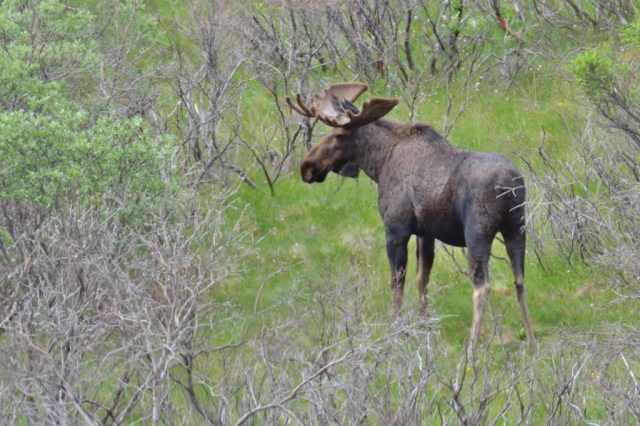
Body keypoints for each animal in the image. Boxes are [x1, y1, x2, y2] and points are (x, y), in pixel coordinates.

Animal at [287, 82, 536, 353]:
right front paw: (424, 324)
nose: (307, 166)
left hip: (478, 233)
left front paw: (396, 330)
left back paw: (471, 348)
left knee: (482, 286)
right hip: (517, 228)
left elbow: (397, 283)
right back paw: (532, 340)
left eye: (339, 135)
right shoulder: (425, 233)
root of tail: (510, 185)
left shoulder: (396, 229)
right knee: (520, 280)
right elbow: (421, 278)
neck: (379, 165)